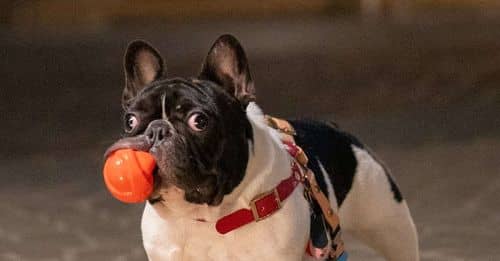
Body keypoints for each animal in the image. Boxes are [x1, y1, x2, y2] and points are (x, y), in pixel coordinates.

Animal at [105, 35, 418, 260]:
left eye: (199, 121)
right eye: (130, 121)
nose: (156, 131)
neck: (204, 218)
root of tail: (338, 130)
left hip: (392, 227)